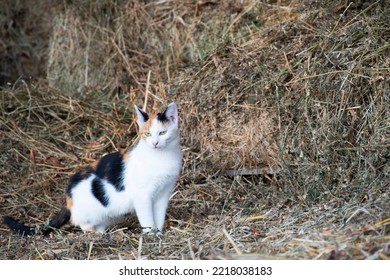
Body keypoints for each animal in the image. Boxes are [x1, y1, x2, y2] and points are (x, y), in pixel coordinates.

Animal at [3, 101, 183, 235]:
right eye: (147, 134)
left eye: (162, 133)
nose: (155, 143)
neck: (161, 157)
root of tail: (68, 200)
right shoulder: (142, 196)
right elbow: (148, 219)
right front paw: (150, 235)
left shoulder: (163, 194)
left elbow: (158, 217)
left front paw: (159, 234)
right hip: (91, 210)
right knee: (82, 224)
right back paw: (97, 234)